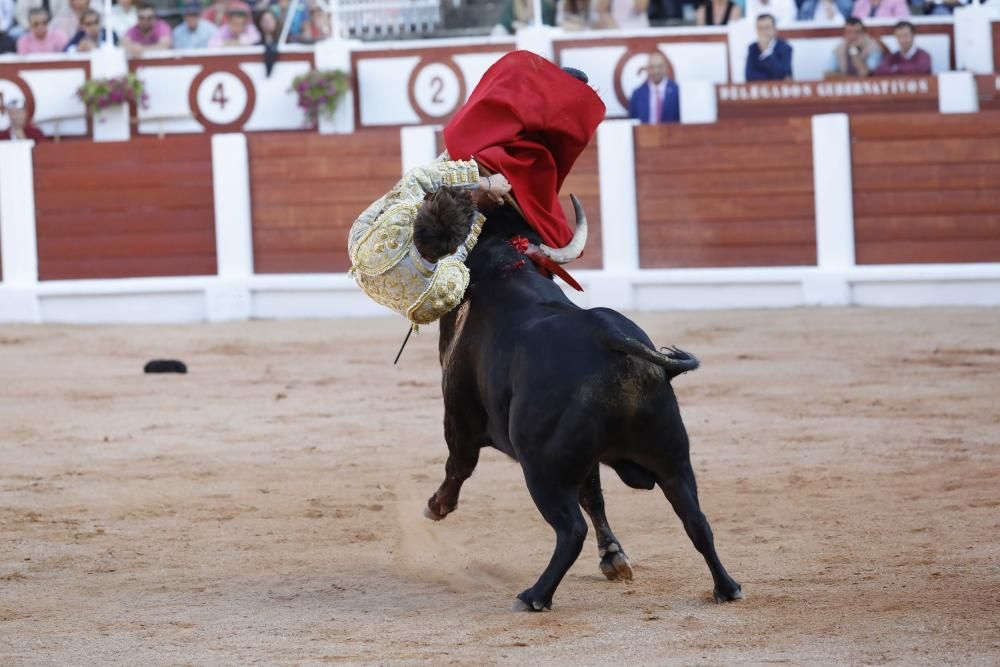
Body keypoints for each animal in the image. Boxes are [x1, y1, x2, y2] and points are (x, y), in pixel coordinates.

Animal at [418, 196, 740, 612]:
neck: (501, 265)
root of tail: (609, 337)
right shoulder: (589, 460)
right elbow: (595, 495)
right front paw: (613, 558)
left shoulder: (459, 417)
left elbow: (458, 465)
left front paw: (435, 505)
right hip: (672, 457)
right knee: (695, 519)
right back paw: (726, 587)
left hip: (541, 469)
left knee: (571, 529)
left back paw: (534, 596)